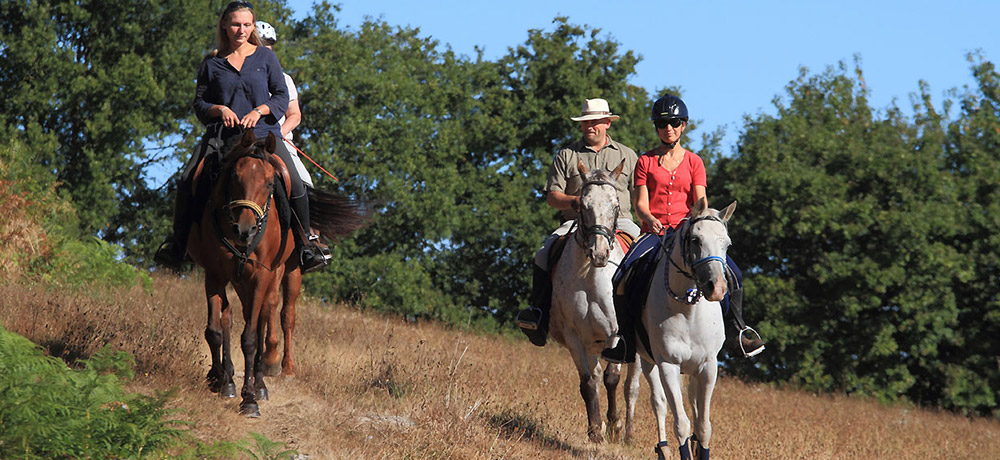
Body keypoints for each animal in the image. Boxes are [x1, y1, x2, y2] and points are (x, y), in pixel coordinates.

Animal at [186, 129, 366, 416]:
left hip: (288, 271)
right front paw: (220, 379)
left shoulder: (262, 274)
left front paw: (249, 398)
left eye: (270, 184)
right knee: (244, 315)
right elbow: (216, 328)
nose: (245, 229)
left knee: (282, 315)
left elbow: (251, 336)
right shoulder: (215, 273)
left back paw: (279, 369)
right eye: (234, 177)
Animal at [548, 160, 640, 444]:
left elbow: (612, 379)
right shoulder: (574, 336)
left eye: (615, 205)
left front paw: (614, 426)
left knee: (631, 387)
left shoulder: (616, 334)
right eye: (584, 205)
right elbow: (589, 383)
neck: (591, 275)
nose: (599, 253)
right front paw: (596, 431)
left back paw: (629, 434)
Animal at [636, 199, 740, 460]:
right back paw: (662, 448)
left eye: (727, 244)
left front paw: (700, 445)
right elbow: (681, 423)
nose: (717, 288)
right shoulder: (668, 365)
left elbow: (703, 425)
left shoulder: (708, 367)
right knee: (659, 402)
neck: (688, 311)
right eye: (695, 240)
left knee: (693, 401)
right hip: (647, 362)